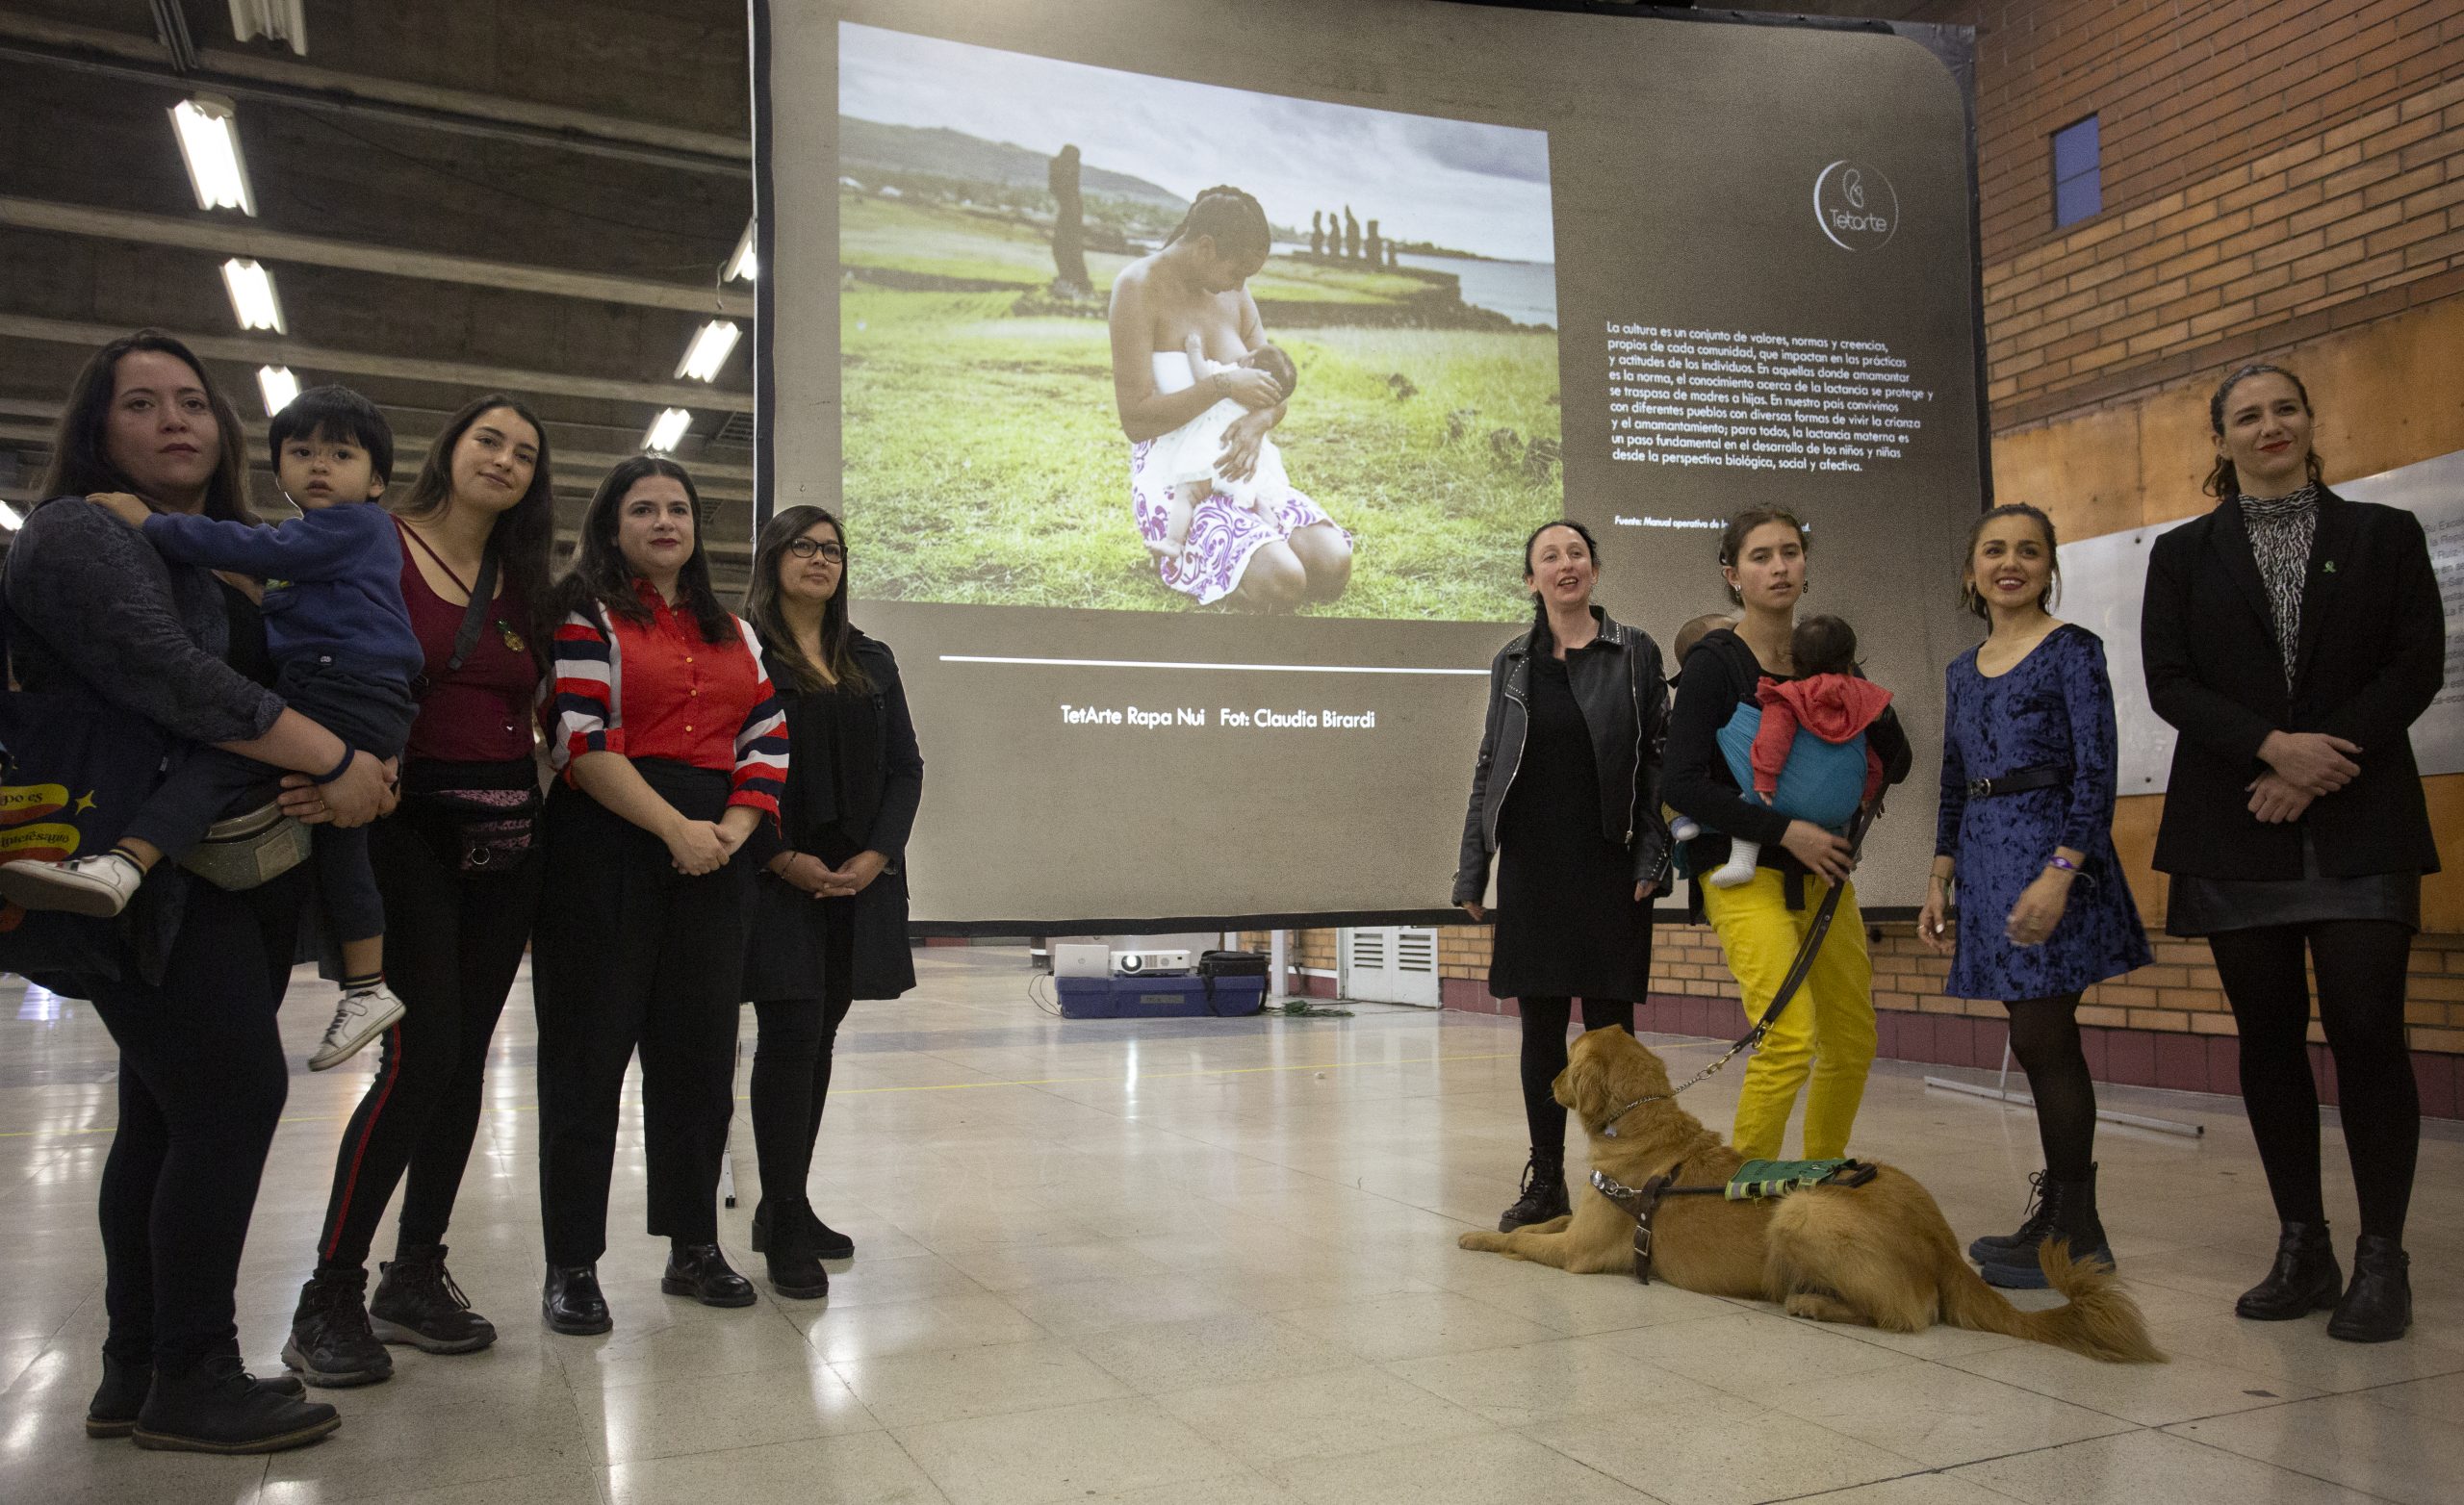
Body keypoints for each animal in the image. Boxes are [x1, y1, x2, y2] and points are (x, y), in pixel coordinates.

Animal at [1449, 1029, 2168, 1359]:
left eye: (1568, 1059)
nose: (1547, 1080)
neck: (1644, 1121)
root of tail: (1942, 1246)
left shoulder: (1580, 1252)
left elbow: (1523, 1245)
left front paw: (1477, 1237)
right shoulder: (1577, 1225)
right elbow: (1533, 1228)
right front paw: (1495, 1226)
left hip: (1799, 1212)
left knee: (1906, 1315)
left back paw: (1812, 1302)